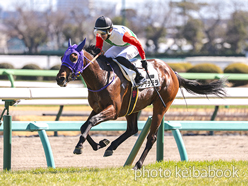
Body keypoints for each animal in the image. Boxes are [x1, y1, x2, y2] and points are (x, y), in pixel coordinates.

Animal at [56, 39, 227, 170]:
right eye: (62, 57)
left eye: (73, 57)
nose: (60, 79)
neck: (102, 77)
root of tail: (172, 71)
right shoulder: (97, 108)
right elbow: (84, 125)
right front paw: (100, 144)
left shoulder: (113, 110)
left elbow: (90, 122)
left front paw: (80, 146)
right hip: (133, 108)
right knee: (132, 129)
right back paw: (111, 147)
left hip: (160, 107)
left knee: (151, 138)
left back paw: (137, 164)